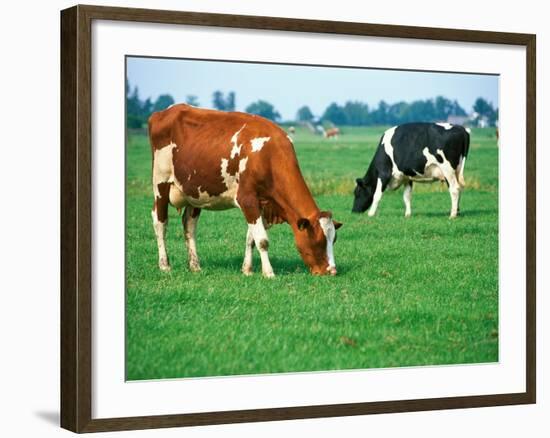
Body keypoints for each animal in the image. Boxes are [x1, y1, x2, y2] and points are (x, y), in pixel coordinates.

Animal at [149, 103, 342, 278]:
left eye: (334, 239)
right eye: (318, 241)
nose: (332, 271)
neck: (268, 155)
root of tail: (163, 112)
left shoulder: (262, 203)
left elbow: (251, 239)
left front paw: (247, 270)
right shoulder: (247, 199)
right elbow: (262, 240)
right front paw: (269, 273)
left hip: (195, 192)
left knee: (189, 225)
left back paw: (195, 266)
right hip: (161, 184)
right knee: (160, 222)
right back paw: (165, 265)